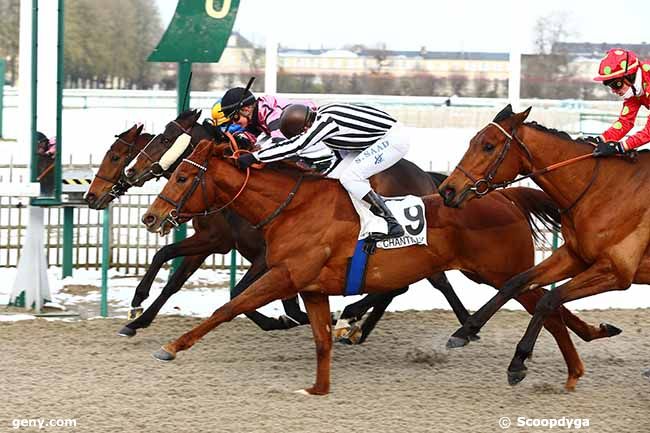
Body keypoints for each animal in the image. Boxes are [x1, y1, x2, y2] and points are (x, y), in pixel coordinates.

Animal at [139, 137, 616, 394]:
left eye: (183, 177)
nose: (150, 217)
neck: (292, 207)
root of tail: (506, 195)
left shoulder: (283, 274)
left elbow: (230, 306)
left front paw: (171, 346)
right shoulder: (311, 286)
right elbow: (319, 340)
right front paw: (319, 386)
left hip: (497, 272)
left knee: (545, 305)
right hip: (491, 273)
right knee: (550, 306)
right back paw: (584, 347)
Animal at [436, 104, 636, 384]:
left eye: (488, 146)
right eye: (472, 142)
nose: (447, 190)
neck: (600, 190)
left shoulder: (616, 271)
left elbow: (549, 298)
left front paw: (518, 360)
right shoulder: (575, 257)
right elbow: (516, 284)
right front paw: (465, 330)